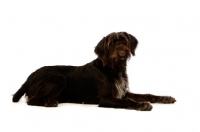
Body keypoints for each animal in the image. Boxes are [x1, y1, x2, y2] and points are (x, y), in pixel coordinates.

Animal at [12, 31, 176, 110]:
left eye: (124, 41)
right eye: (111, 44)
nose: (122, 53)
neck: (114, 68)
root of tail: (28, 77)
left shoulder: (123, 92)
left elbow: (147, 95)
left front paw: (165, 98)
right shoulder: (106, 98)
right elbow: (128, 101)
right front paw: (141, 105)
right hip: (58, 78)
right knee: (31, 100)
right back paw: (48, 102)